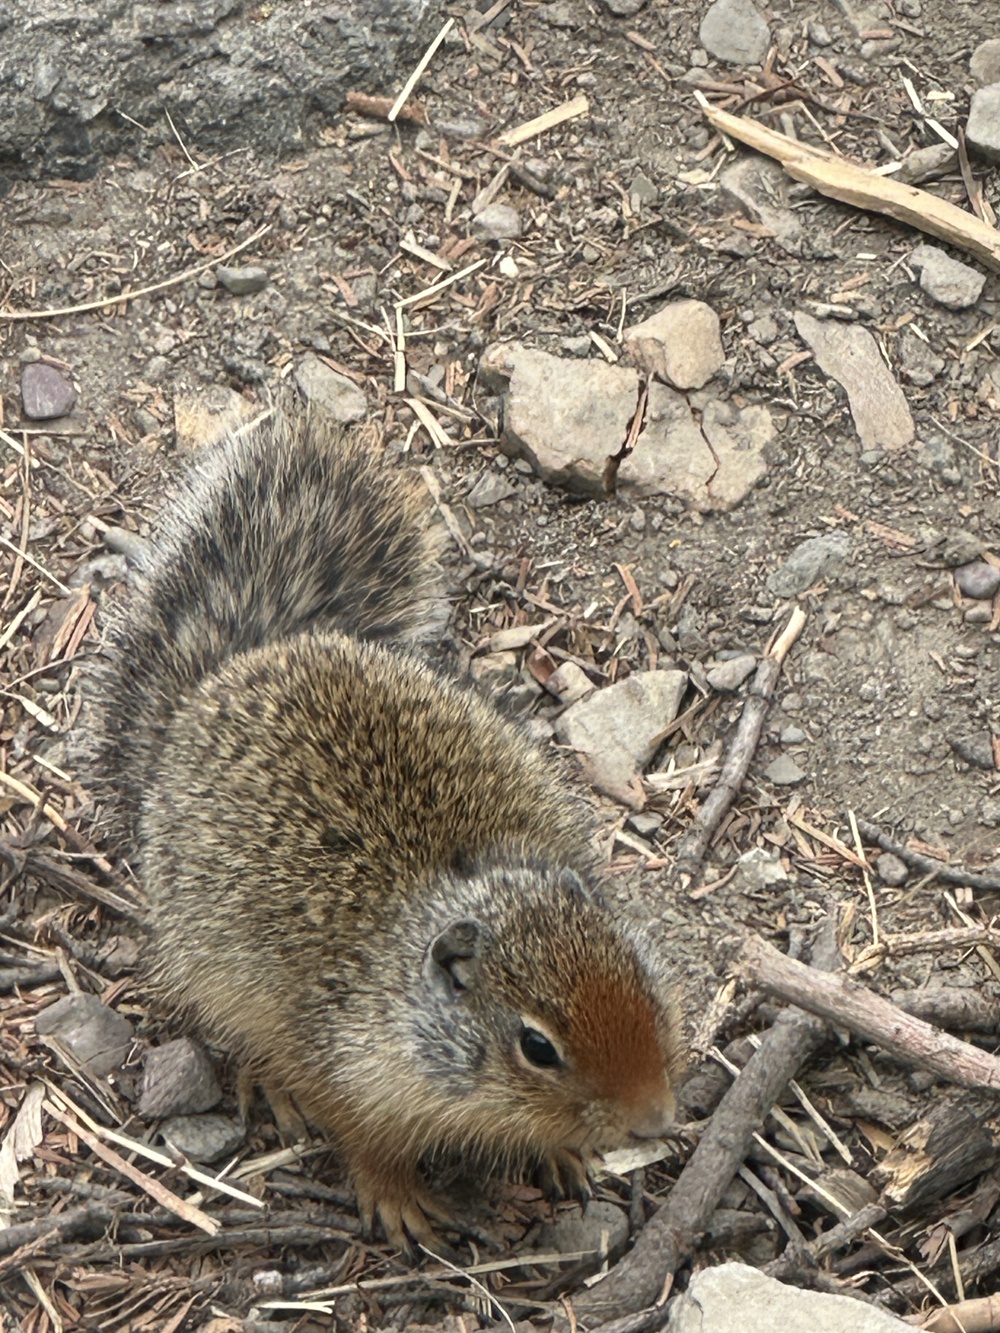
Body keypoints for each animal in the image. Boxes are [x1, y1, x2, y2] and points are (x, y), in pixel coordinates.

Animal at [92, 410, 686, 1253]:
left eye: (641, 979)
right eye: (538, 1046)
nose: (656, 1119)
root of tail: (230, 669)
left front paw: (564, 1153)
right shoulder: (348, 1072)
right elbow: (365, 1143)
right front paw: (398, 1199)